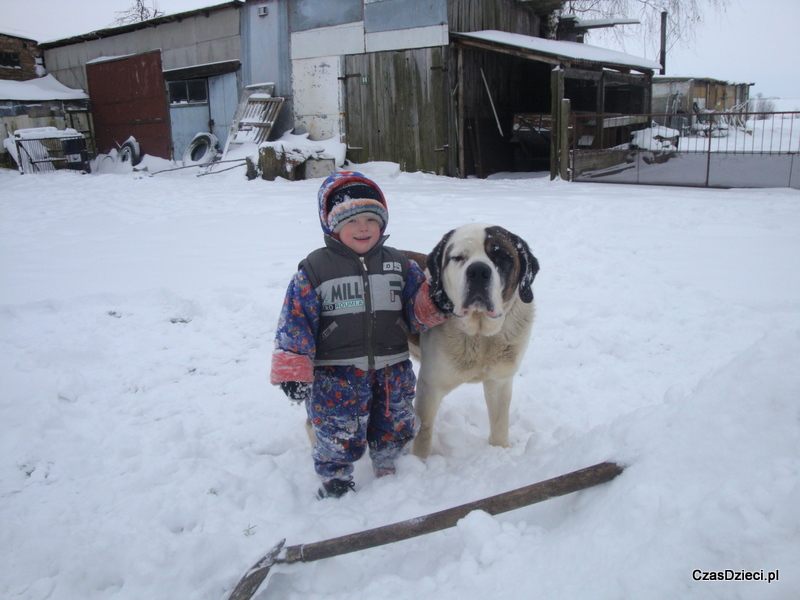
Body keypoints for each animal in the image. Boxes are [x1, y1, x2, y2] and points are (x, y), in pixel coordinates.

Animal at [406, 223, 536, 458]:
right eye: (458, 258)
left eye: (501, 256)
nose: (478, 271)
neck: (481, 337)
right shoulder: (430, 387)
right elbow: (424, 433)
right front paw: (419, 462)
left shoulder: (500, 381)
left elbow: (499, 421)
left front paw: (500, 451)